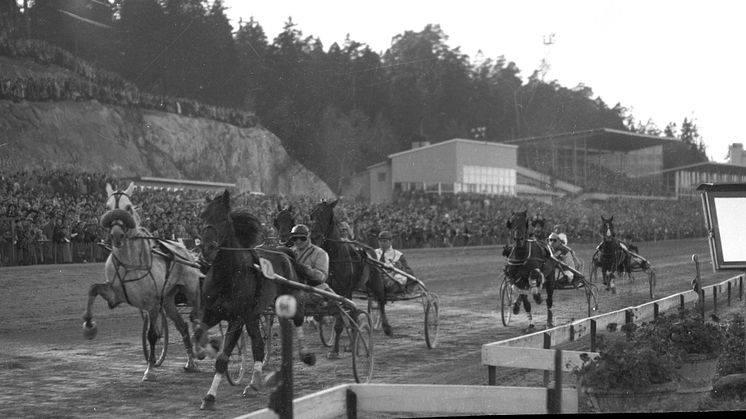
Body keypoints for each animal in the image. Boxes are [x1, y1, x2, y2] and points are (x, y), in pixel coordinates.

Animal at [82, 182, 203, 382]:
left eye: (128, 207)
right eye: (107, 208)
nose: (116, 235)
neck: (130, 262)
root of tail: (184, 249)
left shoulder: (152, 303)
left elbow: (152, 335)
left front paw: (150, 370)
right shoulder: (115, 294)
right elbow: (93, 289)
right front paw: (89, 325)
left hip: (191, 291)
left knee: (198, 317)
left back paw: (199, 352)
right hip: (168, 299)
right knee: (183, 326)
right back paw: (190, 362)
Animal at [193, 189, 312, 410]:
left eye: (223, 218)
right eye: (202, 216)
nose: (207, 249)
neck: (227, 275)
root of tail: (283, 252)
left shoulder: (236, 318)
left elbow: (222, 359)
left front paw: (210, 397)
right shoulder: (211, 312)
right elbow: (198, 334)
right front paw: (207, 349)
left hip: (289, 298)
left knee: (298, 318)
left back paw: (306, 354)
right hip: (254, 314)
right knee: (258, 345)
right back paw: (253, 383)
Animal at [306, 201, 392, 358]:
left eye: (327, 215)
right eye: (312, 214)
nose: (314, 236)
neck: (333, 258)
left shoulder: (344, 291)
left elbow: (339, 323)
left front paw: (335, 351)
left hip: (375, 280)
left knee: (381, 300)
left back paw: (386, 327)